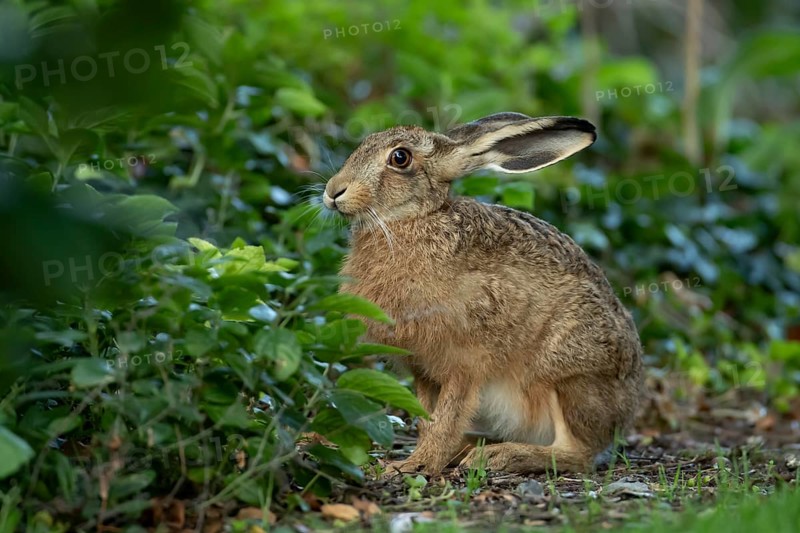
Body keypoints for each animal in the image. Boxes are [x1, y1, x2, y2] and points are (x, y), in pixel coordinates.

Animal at [322, 112, 643, 475]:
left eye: (400, 158)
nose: (333, 191)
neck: (415, 219)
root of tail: (625, 410)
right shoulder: (423, 369)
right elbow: (426, 417)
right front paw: (420, 458)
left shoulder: (466, 360)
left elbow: (447, 417)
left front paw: (416, 464)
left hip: (567, 376)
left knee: (579, 453)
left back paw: (497, 456)